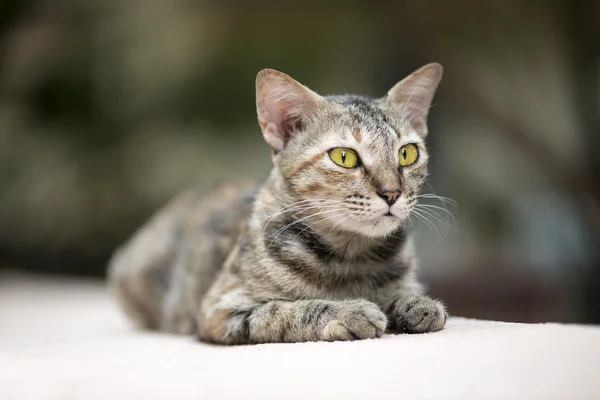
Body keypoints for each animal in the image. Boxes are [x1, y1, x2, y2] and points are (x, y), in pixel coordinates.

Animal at [106, 62, 446, 344]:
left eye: (407, 153)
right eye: (344, 157)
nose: (392, 192)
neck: (352, 259)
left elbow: (404, 293)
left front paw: (416, 304)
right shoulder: (221, 309)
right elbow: (288, 309)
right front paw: (349, 311)